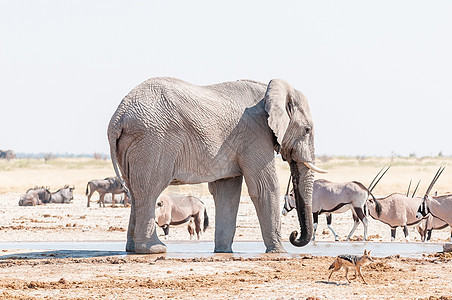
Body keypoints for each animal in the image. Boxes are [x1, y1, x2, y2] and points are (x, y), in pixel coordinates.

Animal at [107, 77, 324, 253]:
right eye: (306, 130)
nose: (294, 235)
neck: (270, 90)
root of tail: (119, 115)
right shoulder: (256, 135)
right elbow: (264, 188)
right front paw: (279, 252)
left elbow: (227, 192)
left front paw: (223, 252)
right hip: (152, 142)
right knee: (149, 190)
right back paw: (155, 249)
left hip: (135, 143)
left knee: (135, 191)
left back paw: (132, 249)